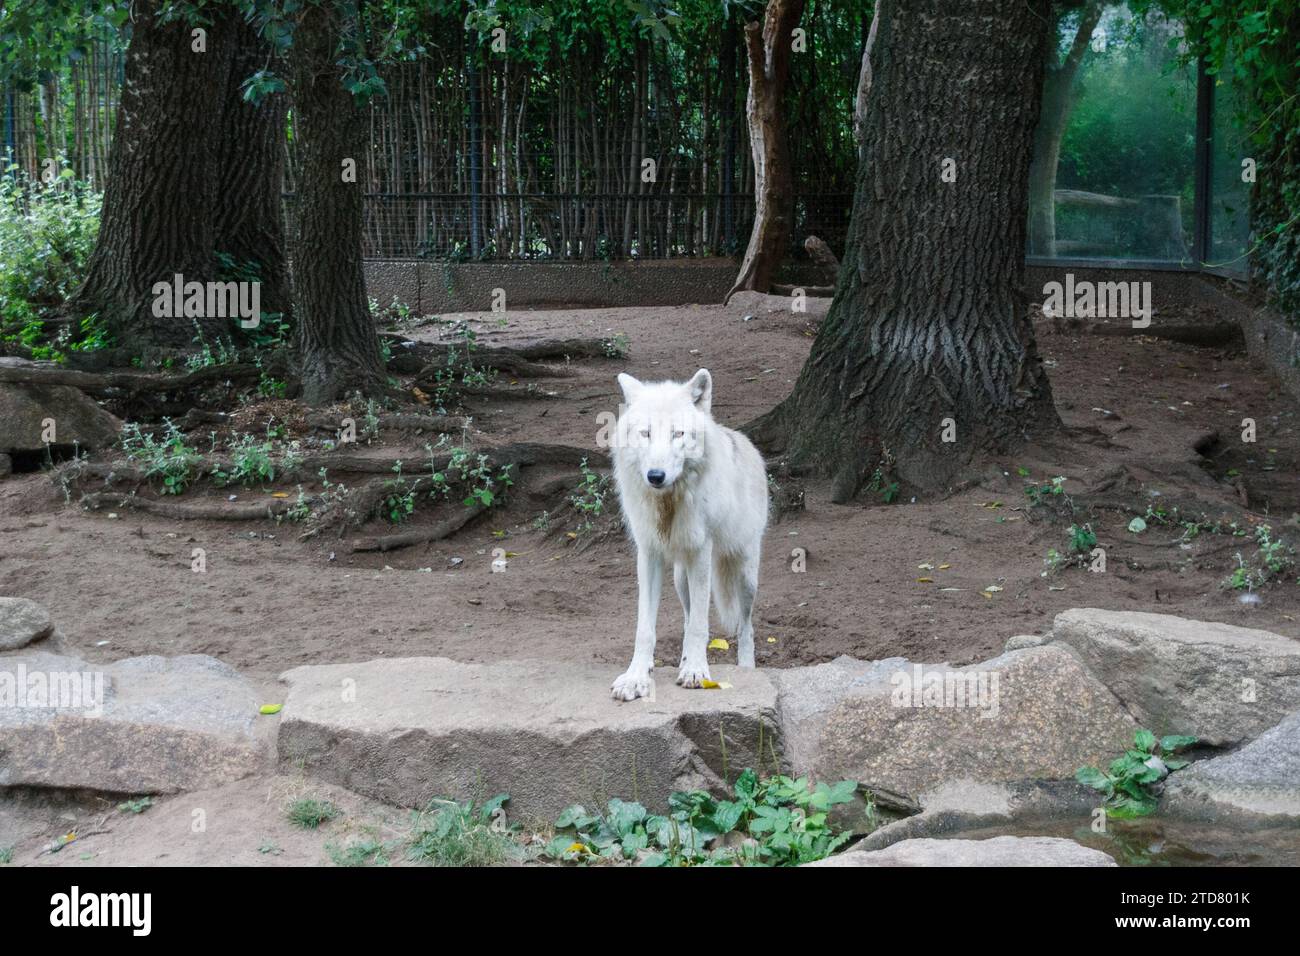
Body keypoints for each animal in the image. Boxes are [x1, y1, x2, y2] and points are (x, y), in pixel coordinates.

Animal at [609, 368, 768, 701]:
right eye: (645, 433)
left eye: (678, 434)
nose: (655, 476)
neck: (667, 504)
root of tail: (742, 439)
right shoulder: (649, 554)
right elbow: (646, 628)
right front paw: (636, 678)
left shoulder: (701, 552)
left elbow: (700, 625)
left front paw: (696, 672)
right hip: (679, 578)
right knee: (686, 616)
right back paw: (681, 660)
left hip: (745, 576)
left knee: (745, 626)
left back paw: (746, 668)